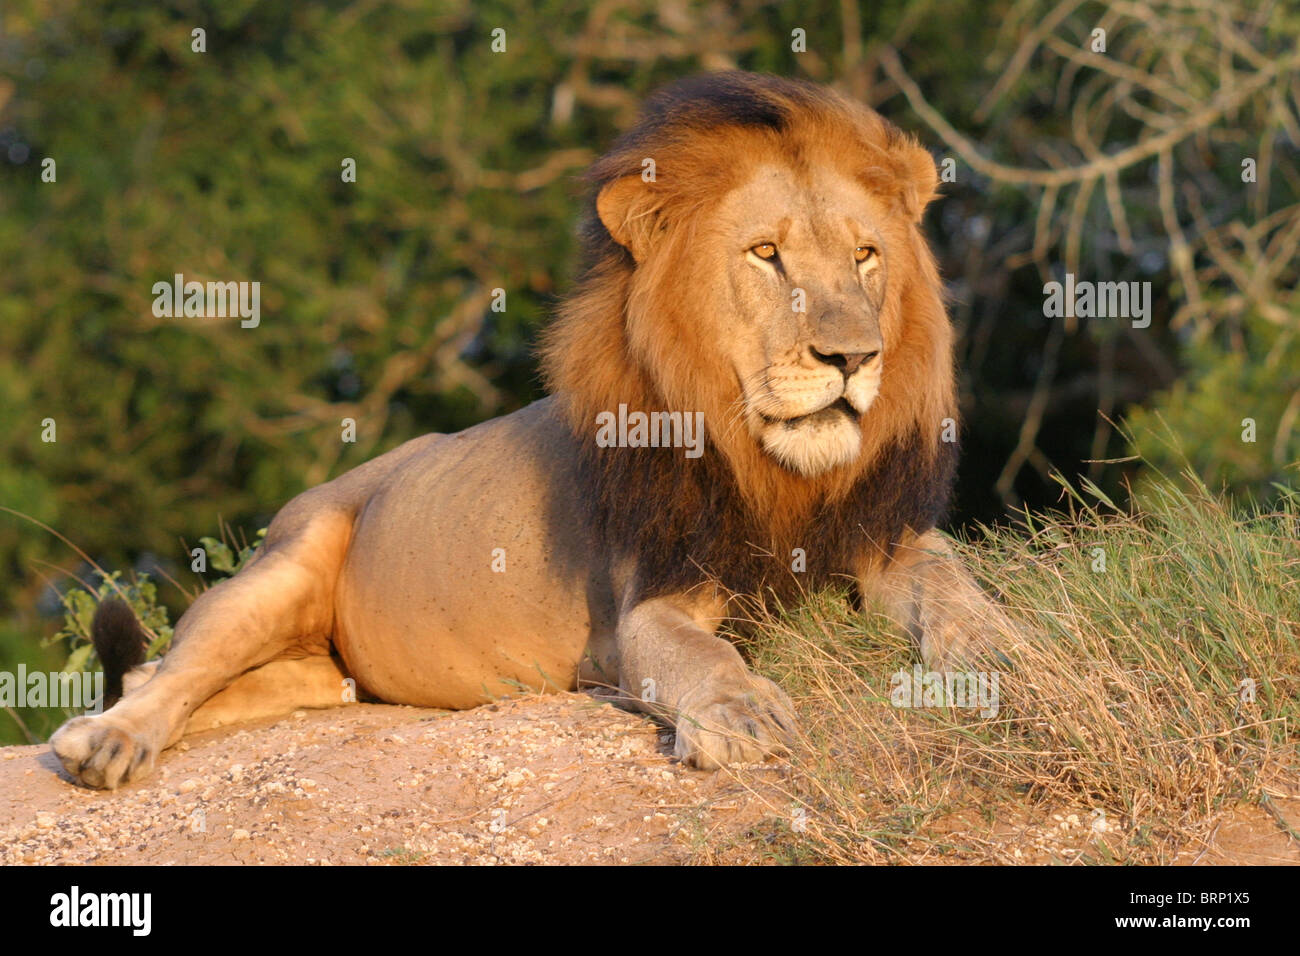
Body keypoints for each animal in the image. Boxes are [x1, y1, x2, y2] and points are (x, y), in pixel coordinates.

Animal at [53, 72, 1013, 790]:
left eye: (866, 256)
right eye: (766, 255)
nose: (854, 356)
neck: (777, 469)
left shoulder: (886, 539)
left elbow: (955, 588)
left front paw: (999, 650)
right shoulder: (651, 599)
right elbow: (699, 656)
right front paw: (740, 715)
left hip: (322, 674)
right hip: (282, 567)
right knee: (173, 671)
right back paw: (99, 742)